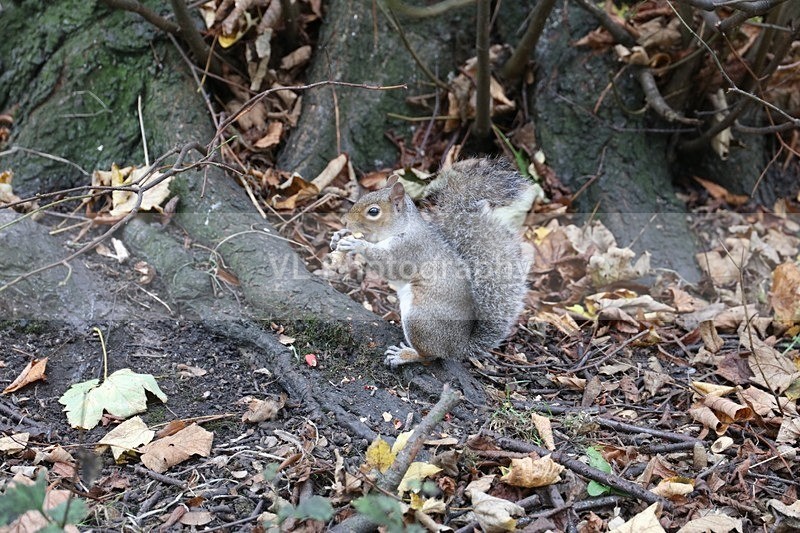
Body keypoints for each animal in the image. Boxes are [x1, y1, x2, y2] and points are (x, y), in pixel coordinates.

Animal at [330, 158, 534, 367]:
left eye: (373, 211)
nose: (345, 221)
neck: (402, 228)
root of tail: (458, 348)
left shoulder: (409, 250)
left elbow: (388, 265)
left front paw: (356, 244)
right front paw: (339, 235)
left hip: (419, 320)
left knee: (429, 356)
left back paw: (404, 356)